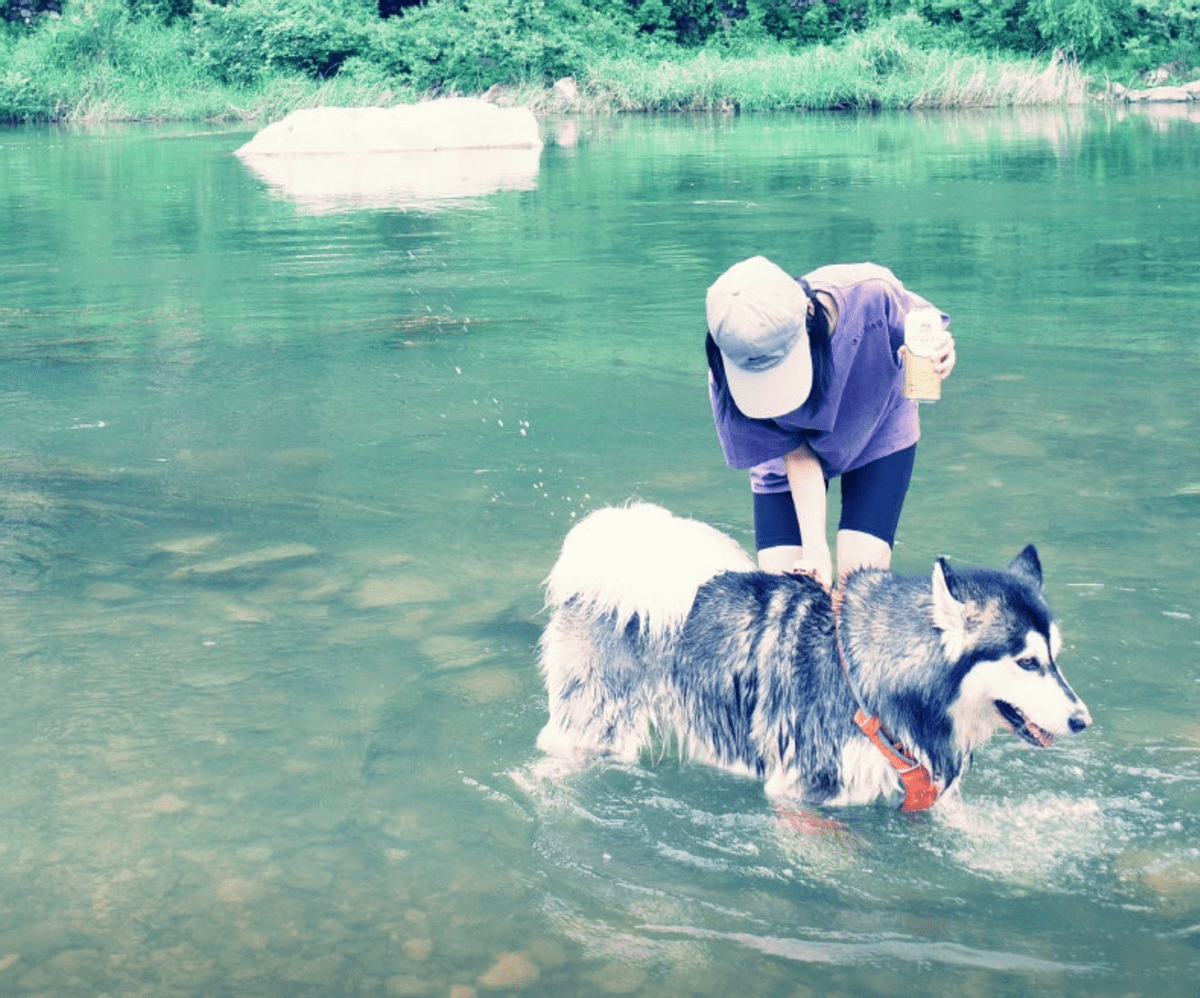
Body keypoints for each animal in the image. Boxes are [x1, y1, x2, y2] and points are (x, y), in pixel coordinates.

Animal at [535, 506, 1089, 810]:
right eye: (1027, 662)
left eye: (1054, 657)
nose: (1082, 720)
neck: (866, 682)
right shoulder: (805, 790)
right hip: (596, 720)